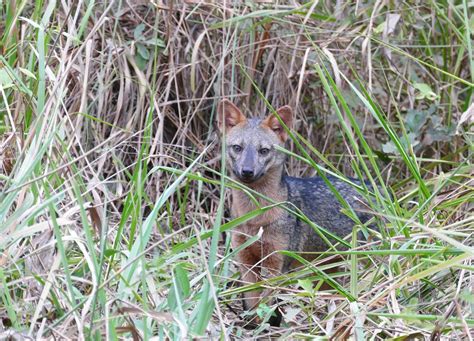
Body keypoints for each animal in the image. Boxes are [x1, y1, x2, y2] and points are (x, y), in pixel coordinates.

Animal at [218, 99, 374, 322]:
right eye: (238, 148)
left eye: (263, 150)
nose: (247, 171)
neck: (255, 218)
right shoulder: (246, 260)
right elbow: (252, 301)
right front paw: (253, 324)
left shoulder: (277, 263)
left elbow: (267, 303)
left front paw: (267, 325)